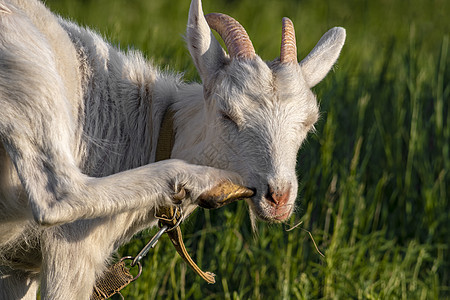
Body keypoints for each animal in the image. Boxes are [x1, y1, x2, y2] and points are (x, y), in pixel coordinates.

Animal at [0, 0, 344, 296]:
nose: (279, 197)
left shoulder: (17, 269)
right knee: (56, 194)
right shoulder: (72, 248)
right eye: (227, 114)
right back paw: (200, 179)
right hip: (26, 64)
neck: (144, 129)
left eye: (309, 123)